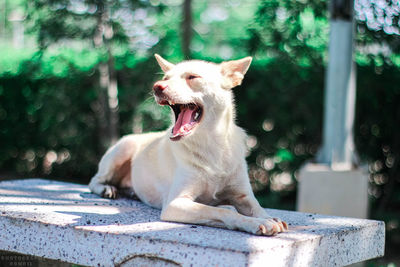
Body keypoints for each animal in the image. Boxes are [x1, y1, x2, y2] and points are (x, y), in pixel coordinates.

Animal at [88, 55, 288, 237]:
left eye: (192, 77)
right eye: (165, 78)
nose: (157, 86)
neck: (211, 145)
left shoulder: (243, 196)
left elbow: (258, 208)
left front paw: (269, 218)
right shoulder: (175, 203)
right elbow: (222, 210)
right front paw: (256, 223)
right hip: (122, 150)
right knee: (94, 180)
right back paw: (107, 189)